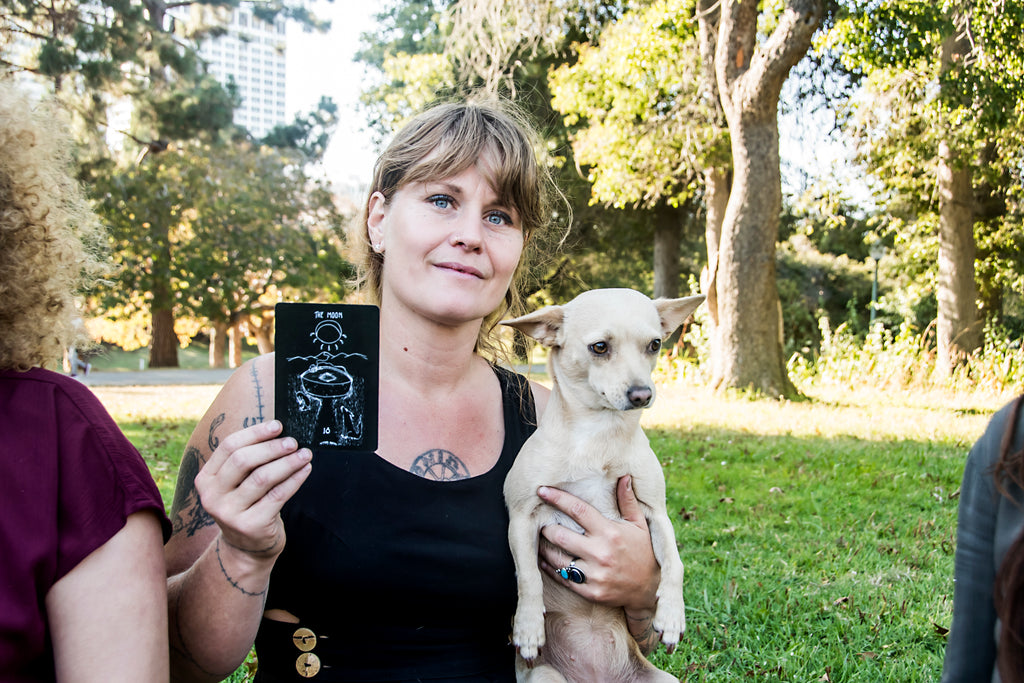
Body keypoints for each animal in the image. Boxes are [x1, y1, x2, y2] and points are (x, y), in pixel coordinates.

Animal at [501, 288, 704, 683]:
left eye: (655, 344)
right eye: (599, 347)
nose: (642, 394)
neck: (599, 434)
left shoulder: (657, 515)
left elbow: (675, 564)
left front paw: (672, 616)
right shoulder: (522, 518)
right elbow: (528, 577)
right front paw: (528, 629)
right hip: (545, 677)